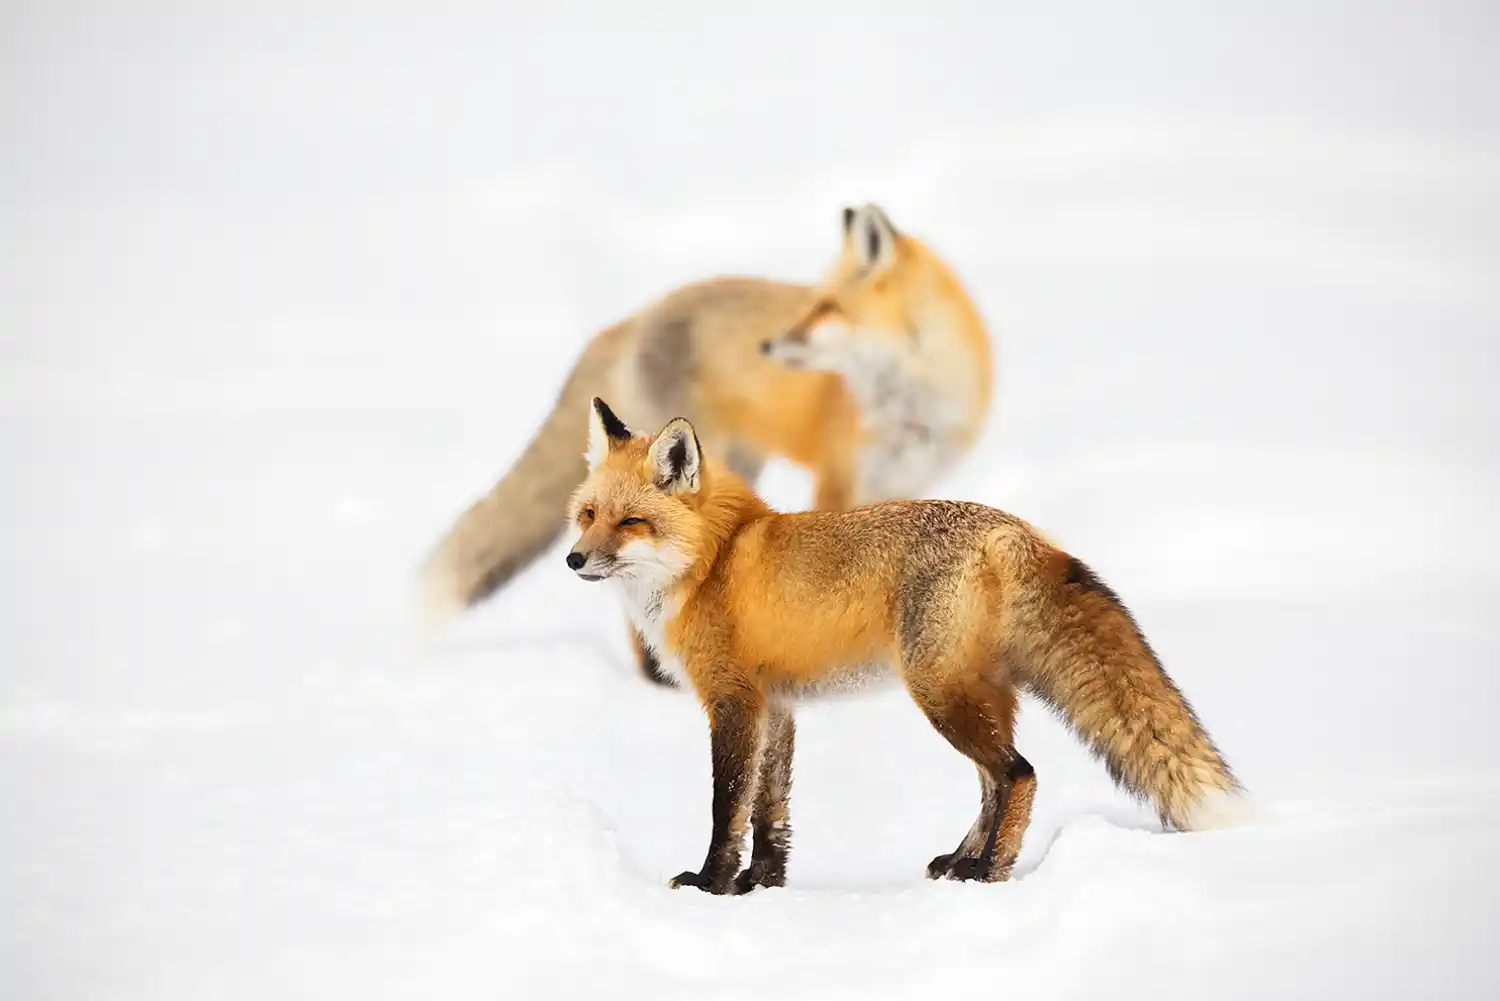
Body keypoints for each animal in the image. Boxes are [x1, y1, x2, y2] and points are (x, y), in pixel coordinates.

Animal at [419, 204, 993, 685]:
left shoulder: (905, 482)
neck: (912, 406)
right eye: (813, 304)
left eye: (827, 308)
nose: (767, 345)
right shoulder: (839, 479)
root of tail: (633, 318)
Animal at [564, 398, 1245, 894]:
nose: (573, 560)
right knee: (994, 783)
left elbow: (725, 806)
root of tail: (1015, 531)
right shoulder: (776, 706)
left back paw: (989, 873)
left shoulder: (732, 701)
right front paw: (762, 884)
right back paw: (962, 863)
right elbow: (769, 810)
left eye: (631, 523)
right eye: (588, 514)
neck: (713, 561)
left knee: (1017, 775)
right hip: (975, 695)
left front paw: (711, 884)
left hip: (940, 694)